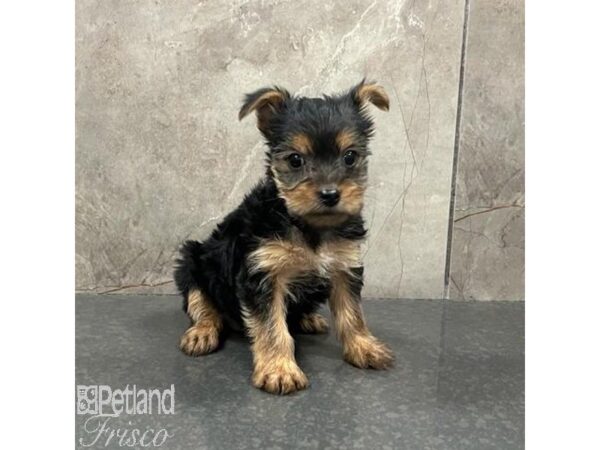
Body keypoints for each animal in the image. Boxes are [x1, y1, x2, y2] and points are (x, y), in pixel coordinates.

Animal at [175, 80, 394, 394]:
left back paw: (308, 319)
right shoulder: (262, 273)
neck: (306, 224)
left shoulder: (344, 265)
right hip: (193, 260)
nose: (330, 194)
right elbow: (271, 326)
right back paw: (202, 332)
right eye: (295, 160)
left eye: (350, 156)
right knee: (201, 303)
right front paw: (279, 370)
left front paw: (364, 347)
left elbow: (353, 313)